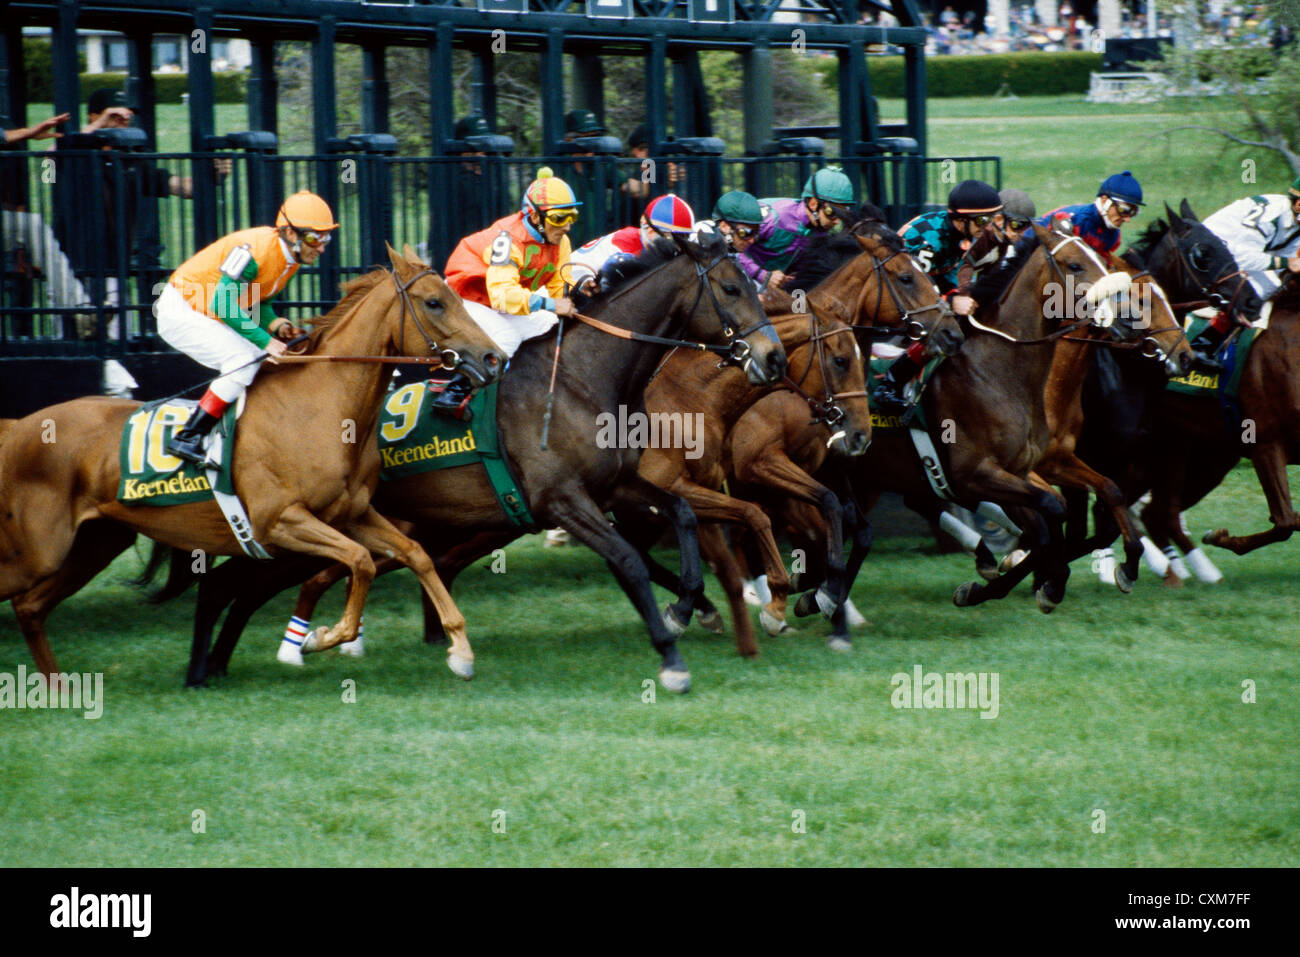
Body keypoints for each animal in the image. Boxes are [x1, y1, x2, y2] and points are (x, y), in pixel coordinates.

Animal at [0, 247, 501, 681]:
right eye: (435, 302)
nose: (493, 357)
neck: (319, 406)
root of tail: (18, 427)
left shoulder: (352, 513)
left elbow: (415, 554)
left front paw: (460, 651)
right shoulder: (280, 520)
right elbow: (361, 562)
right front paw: (323, 638)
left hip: (95, 543)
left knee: (31, 608)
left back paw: (59, 686)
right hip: (41, 549)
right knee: (21, 597)